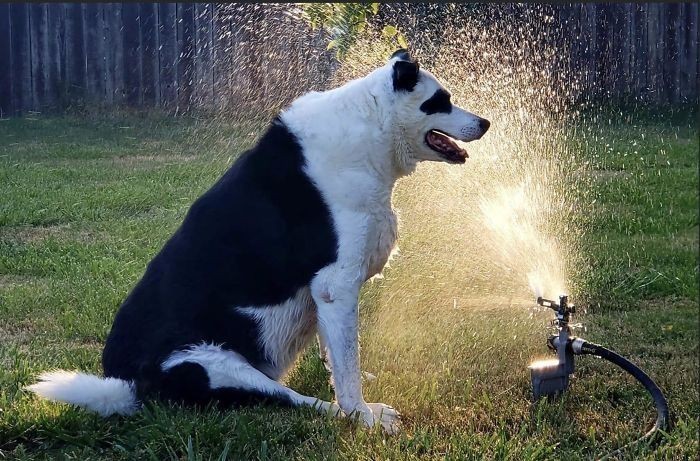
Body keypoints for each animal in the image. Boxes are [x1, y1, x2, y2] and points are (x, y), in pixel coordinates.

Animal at [28, 49, 492, 432]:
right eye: (441, 100)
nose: (486, 123)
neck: (371, 129)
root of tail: (126, 387)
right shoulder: (336, 284)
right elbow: (346, 365)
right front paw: (363, 412)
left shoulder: (326, 296)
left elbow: (339, 354)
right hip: (214, 366)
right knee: (296, 402)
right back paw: (354, 414)